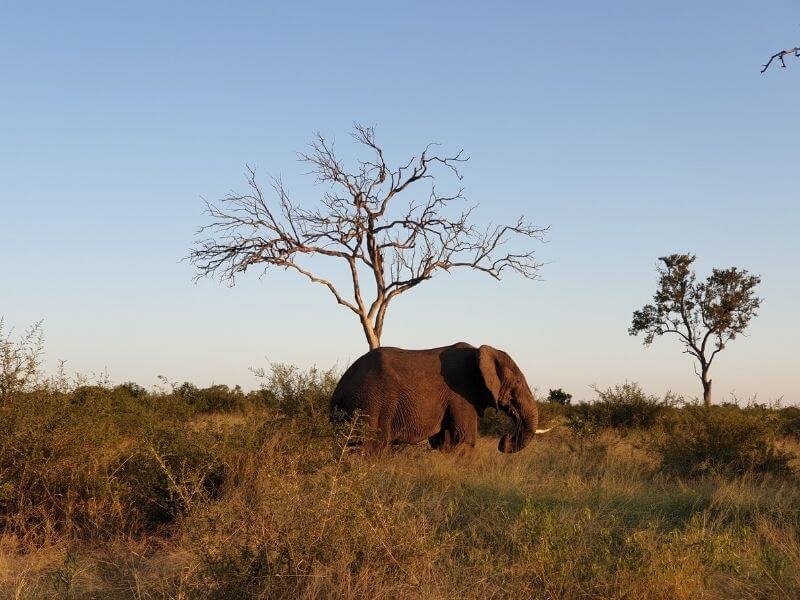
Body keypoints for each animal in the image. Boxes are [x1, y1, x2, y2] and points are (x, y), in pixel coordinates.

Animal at [328, 342, 548, 454]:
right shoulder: (461, 392)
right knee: (370, 444)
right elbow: (464, 439)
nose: (504, 439)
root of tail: (339, 389)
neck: (481, 351)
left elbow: (445, 441)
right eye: (517, 383)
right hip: (371, 402)